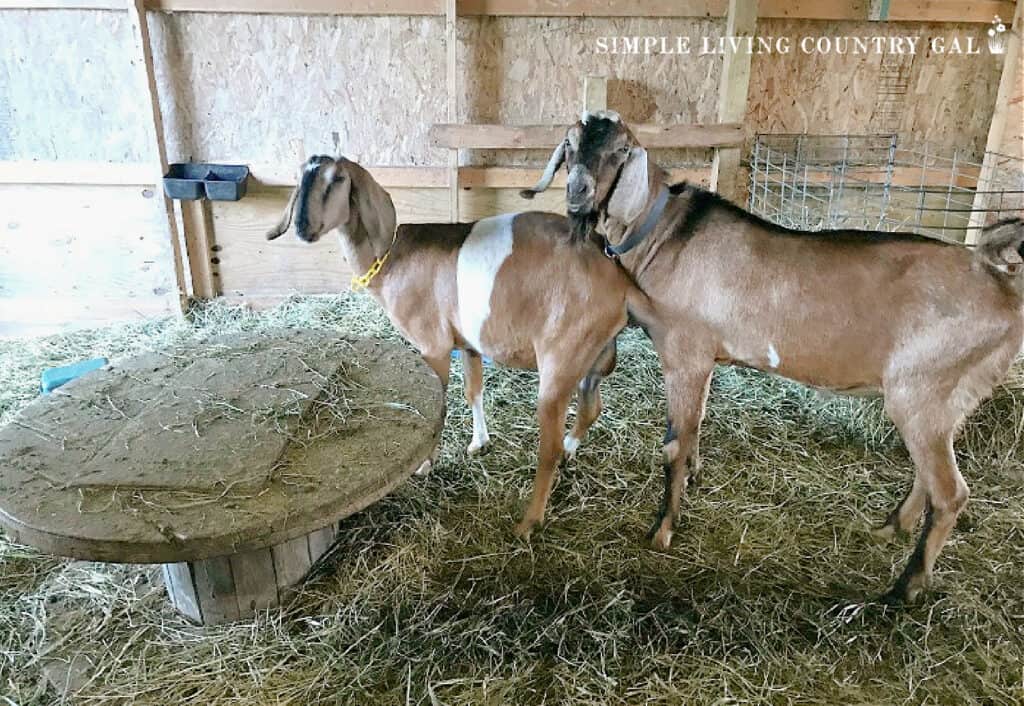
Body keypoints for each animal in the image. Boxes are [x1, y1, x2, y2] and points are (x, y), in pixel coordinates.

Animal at [268, 155, 643, 532]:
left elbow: (439, 406)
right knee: (591, 408)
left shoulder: (432, 345)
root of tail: (621, 283)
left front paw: (424, 464)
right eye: (300, 178)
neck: (391, 258)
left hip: (560, 361)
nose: (302, 227)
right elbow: (473, 391)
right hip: (593, 357)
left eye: (338, 179)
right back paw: (568, 451)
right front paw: (479, 443)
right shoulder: (468, 344)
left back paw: (529, 522)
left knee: (548, 445)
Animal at [524, 112, 1024, 602]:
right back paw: (890, 528)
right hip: (949, 398)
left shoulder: (685, 352)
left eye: (621, 151)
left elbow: (673, 445)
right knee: (931, 474)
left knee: (951, 493)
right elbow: (695, 427)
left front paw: (662, 530)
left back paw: (905, 589)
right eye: (570, 145)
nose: (577, 191)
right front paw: (692, 479)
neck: (666, 234)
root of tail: (1000, 285)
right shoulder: (705, 360)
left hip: (922, 389)